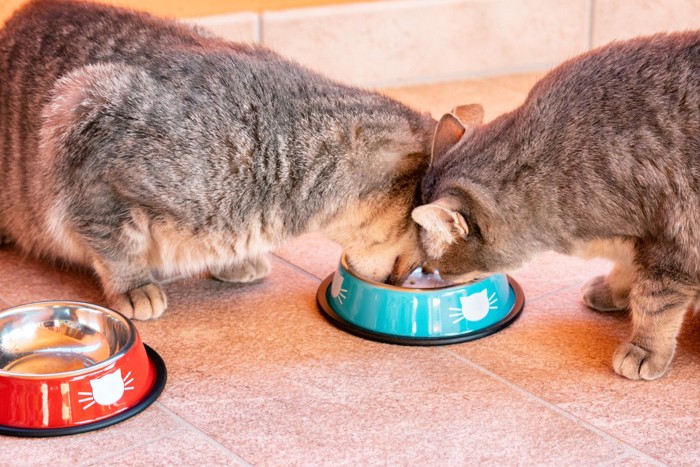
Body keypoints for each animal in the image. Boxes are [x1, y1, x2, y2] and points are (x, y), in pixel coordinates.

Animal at [1, 0, 432, 318]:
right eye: (426, 246)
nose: (417, 276)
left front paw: (236, 259)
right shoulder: (88, 128)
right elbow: (117, 246)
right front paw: (134, 285)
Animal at [412, 32, 696, 380]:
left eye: (440, 266)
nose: (433, 275)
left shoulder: (673, 241)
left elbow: (654, 302)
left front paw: (644, 348)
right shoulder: (640, 239)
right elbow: (629, 270)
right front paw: (614, 290)